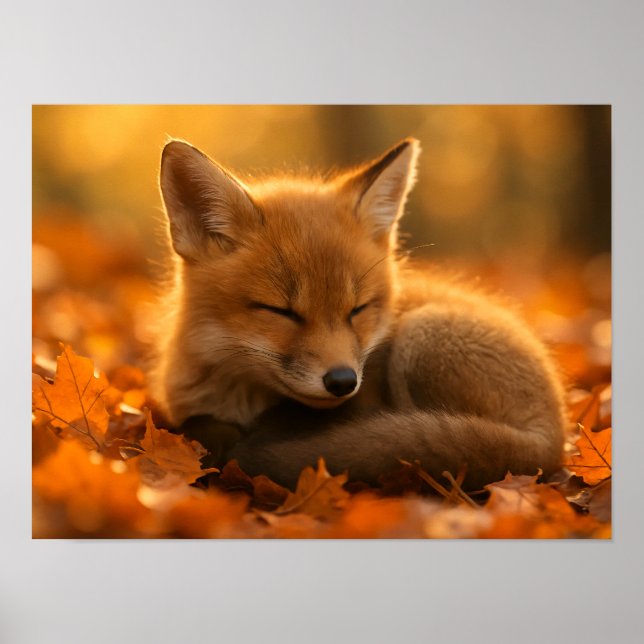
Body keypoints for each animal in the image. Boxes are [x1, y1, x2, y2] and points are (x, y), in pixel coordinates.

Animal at [150, 137, 566, 491]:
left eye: (358, 309)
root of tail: (556, 437)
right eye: (282, 311)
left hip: (421, 334)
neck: (238, 397)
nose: (342, 381)